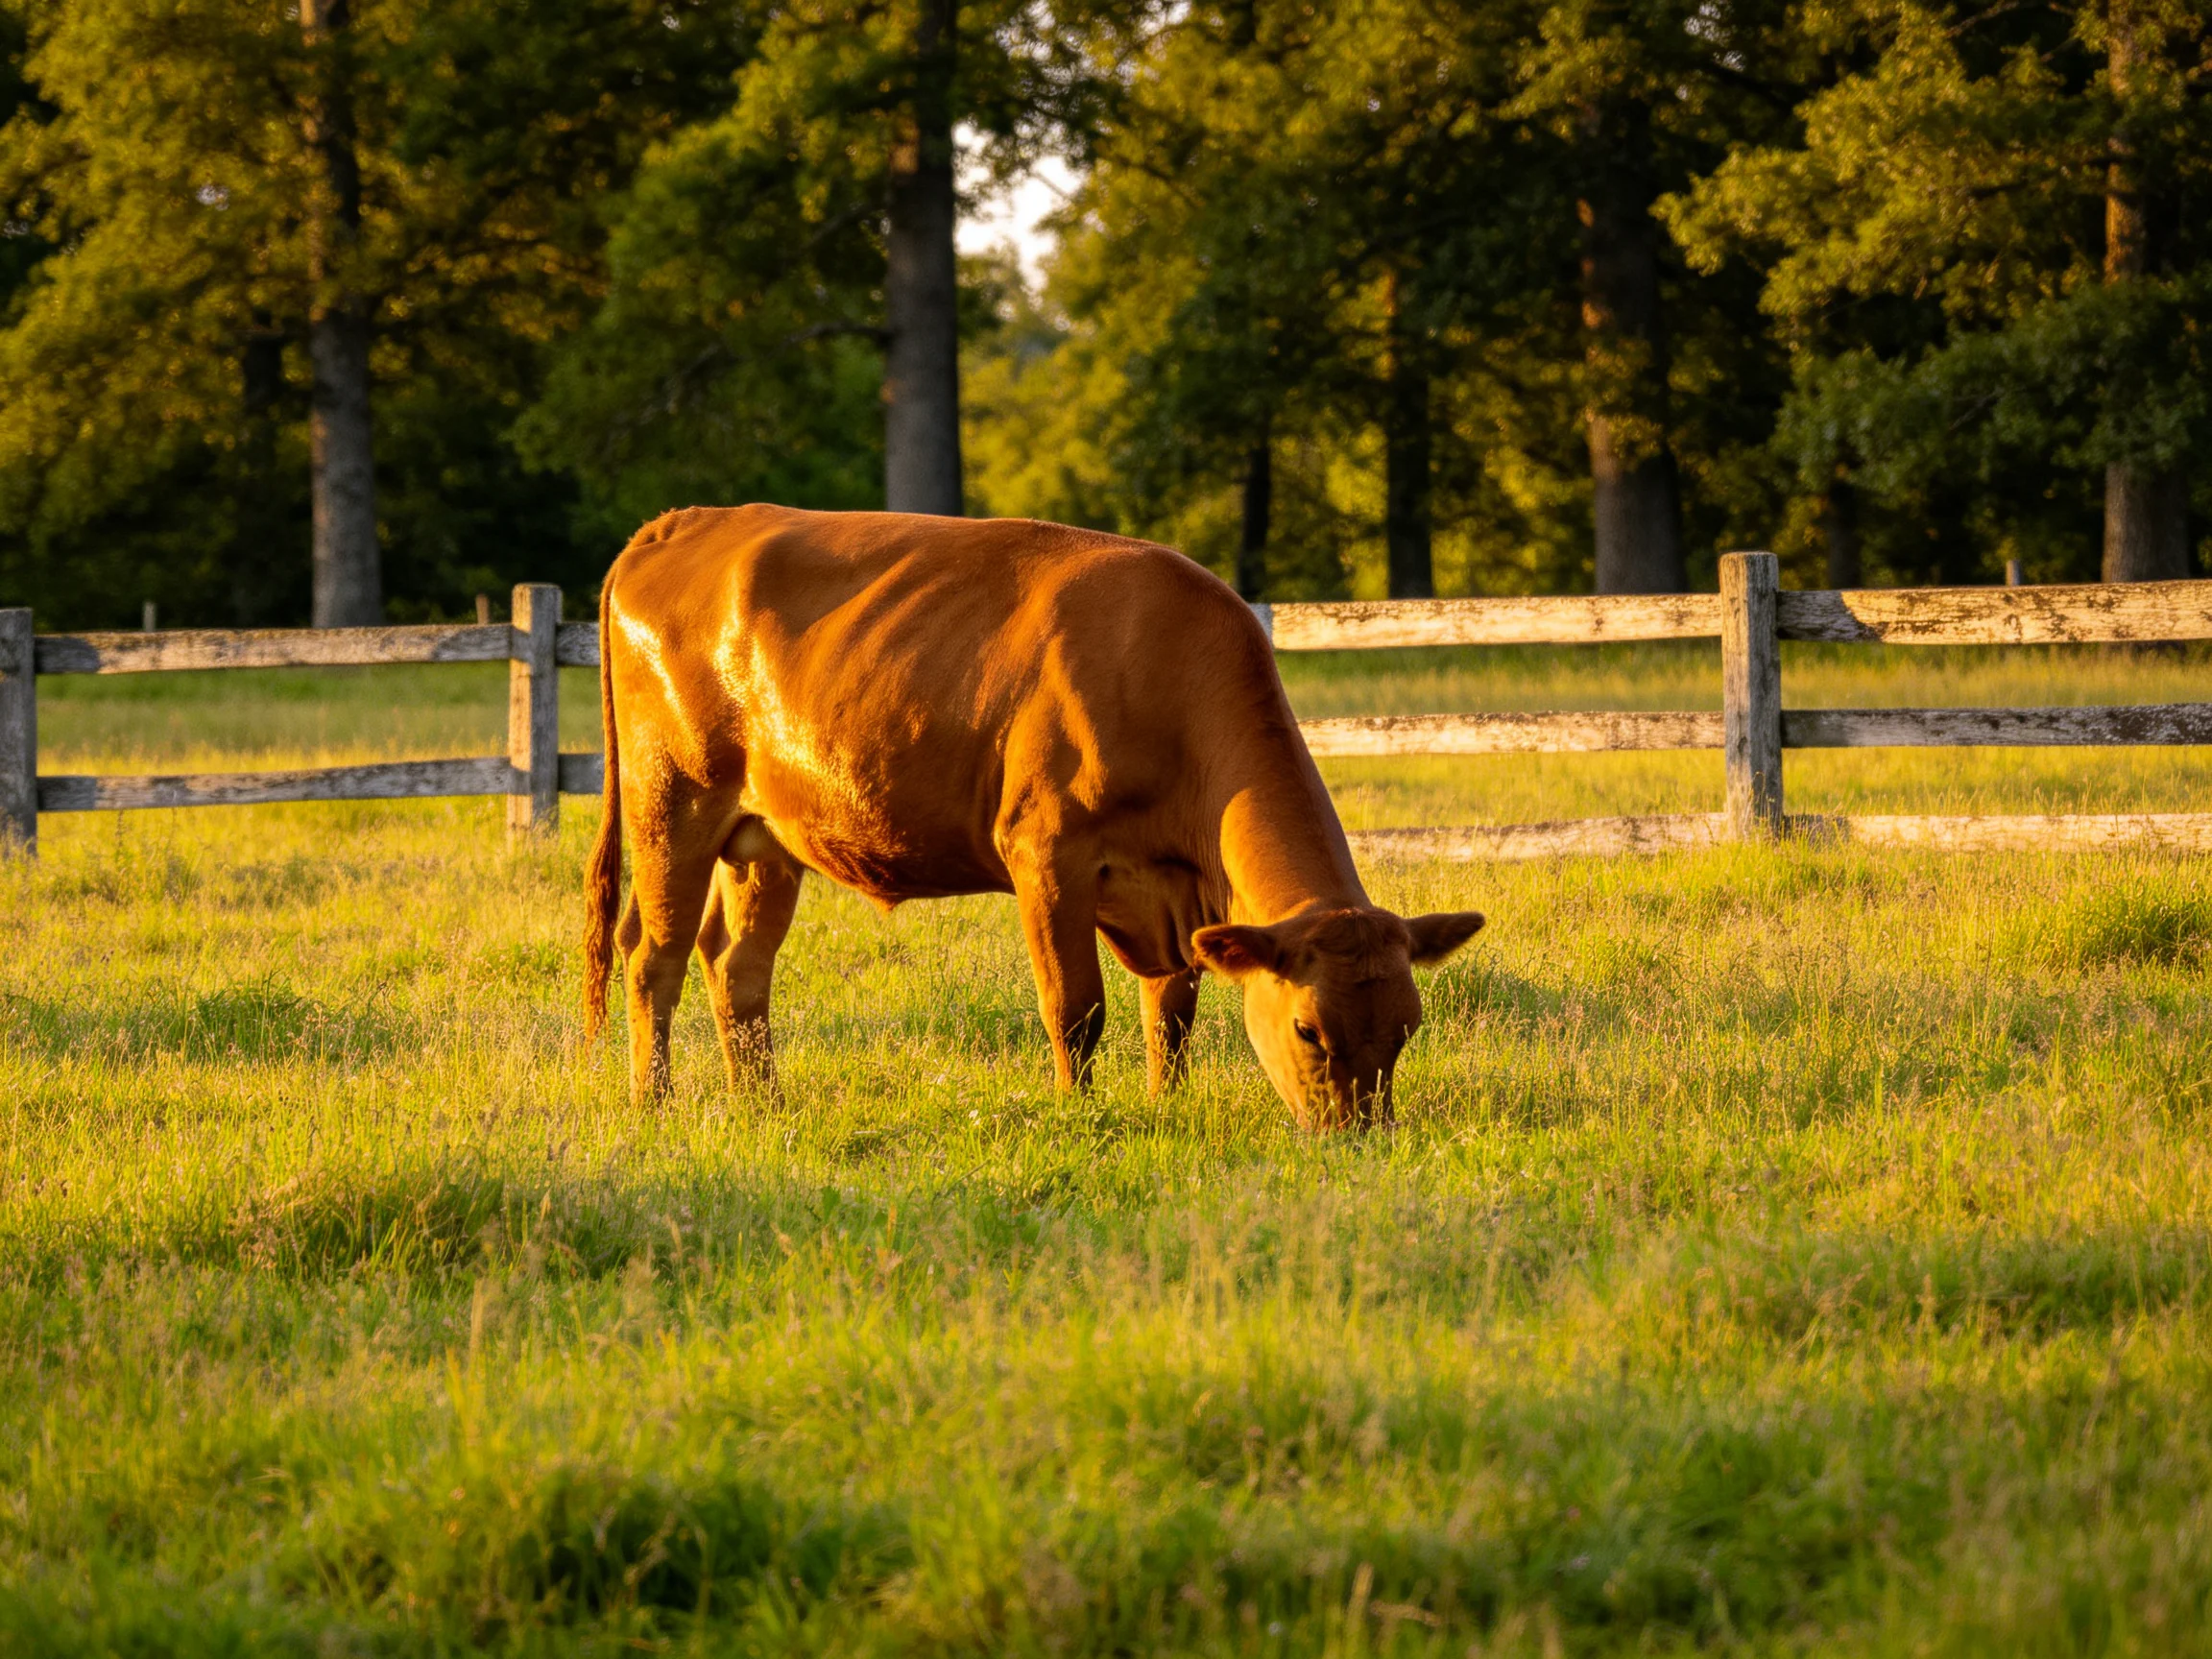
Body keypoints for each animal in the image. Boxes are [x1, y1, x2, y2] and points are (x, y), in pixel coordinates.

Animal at [581, 505, 1485, 1128]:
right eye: (1307, 1030)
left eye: (1407, 1029)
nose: (1358, 1136)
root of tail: (690, 520)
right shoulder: (1047, 852)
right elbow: (1076, 1008)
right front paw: (1078, 1113)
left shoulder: (1168, 898)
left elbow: (1171, 1010)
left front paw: (1165, 1105)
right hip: (674, 800)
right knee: (653, 958)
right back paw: (654, 1102)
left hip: (764, 837)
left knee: (738, 966)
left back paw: (761, 1100)